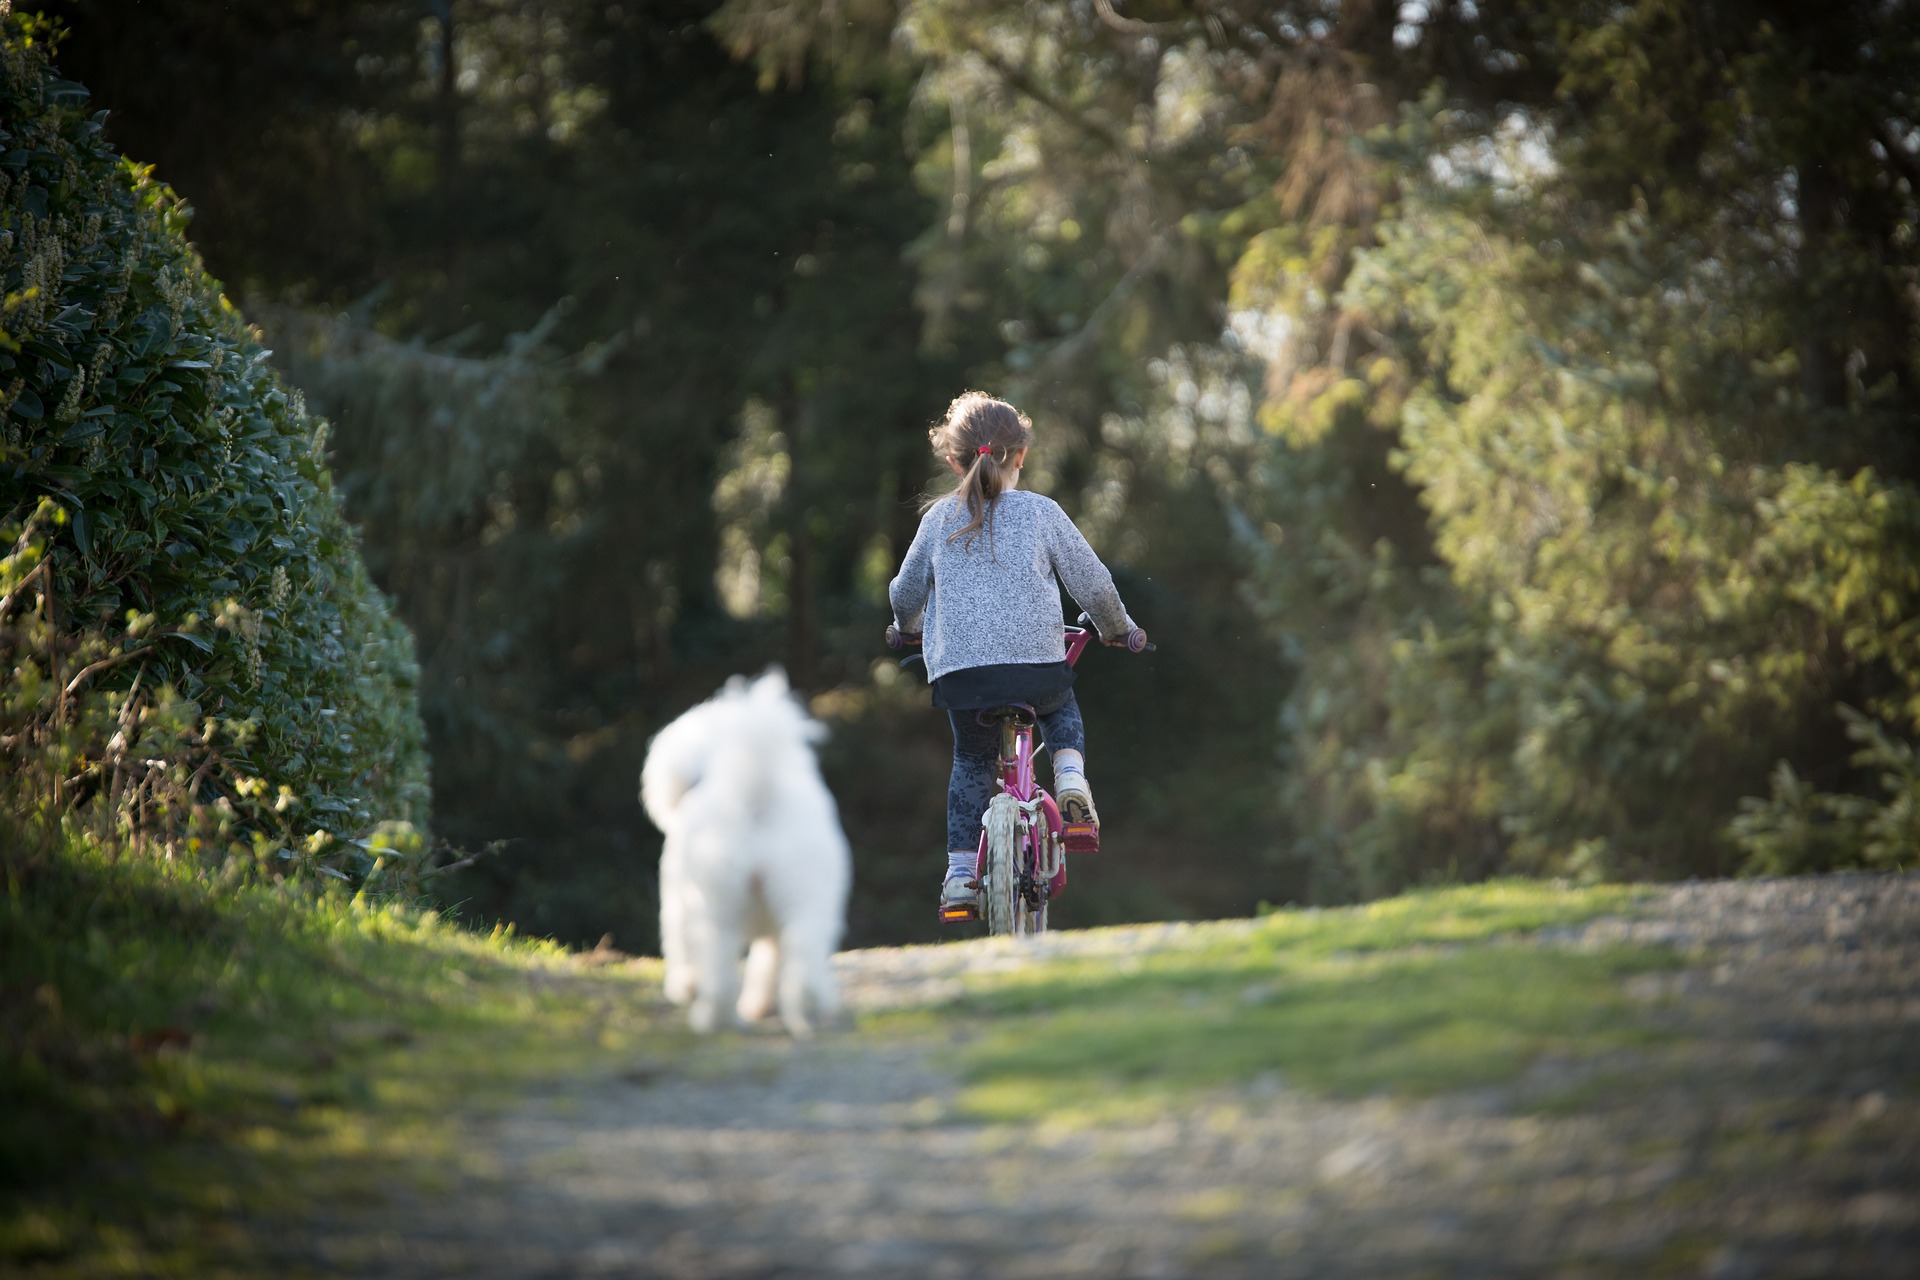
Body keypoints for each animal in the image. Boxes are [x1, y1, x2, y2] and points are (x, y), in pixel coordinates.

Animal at [637, 667, 848, 1036]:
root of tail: (757, 794)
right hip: (805, 898)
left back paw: (710, 1018)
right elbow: (768, 964)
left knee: (719, 974)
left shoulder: (676, 906)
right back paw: (806, 1012)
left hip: (715, 908)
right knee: (802, 962)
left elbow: (681, 949)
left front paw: (685, 987)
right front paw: (760, 1005)